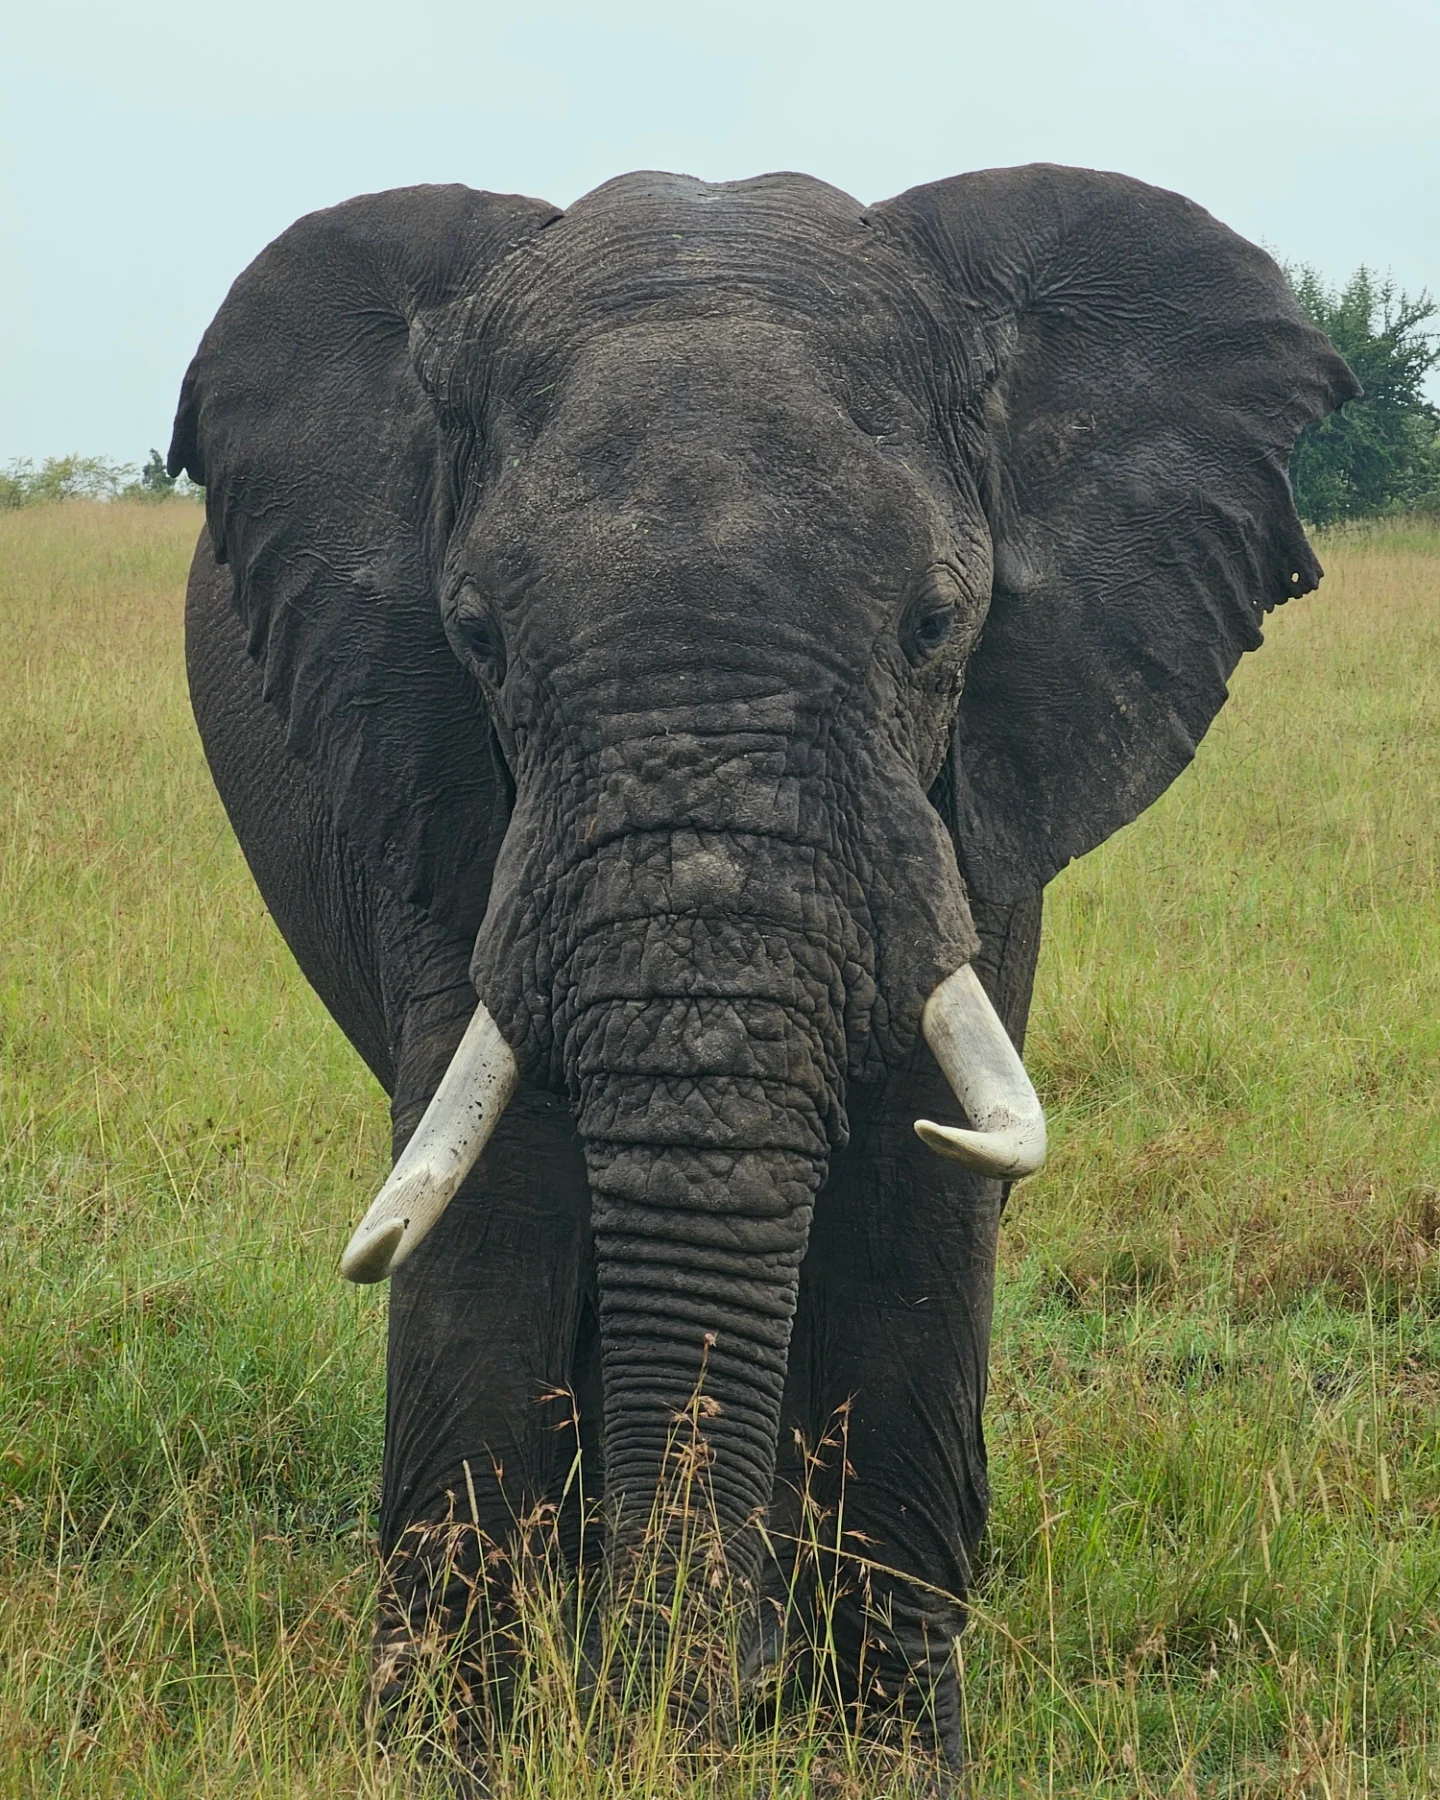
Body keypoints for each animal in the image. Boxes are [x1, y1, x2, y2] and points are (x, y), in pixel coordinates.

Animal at [168, 163, 1356, 1783]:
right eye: (476, 636)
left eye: (935, 624)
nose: (701, 1704)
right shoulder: (438, 781)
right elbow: (487, 1207)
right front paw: (446, 1761)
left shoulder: (984, 787)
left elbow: (922, 1202)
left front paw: (886, 1765)